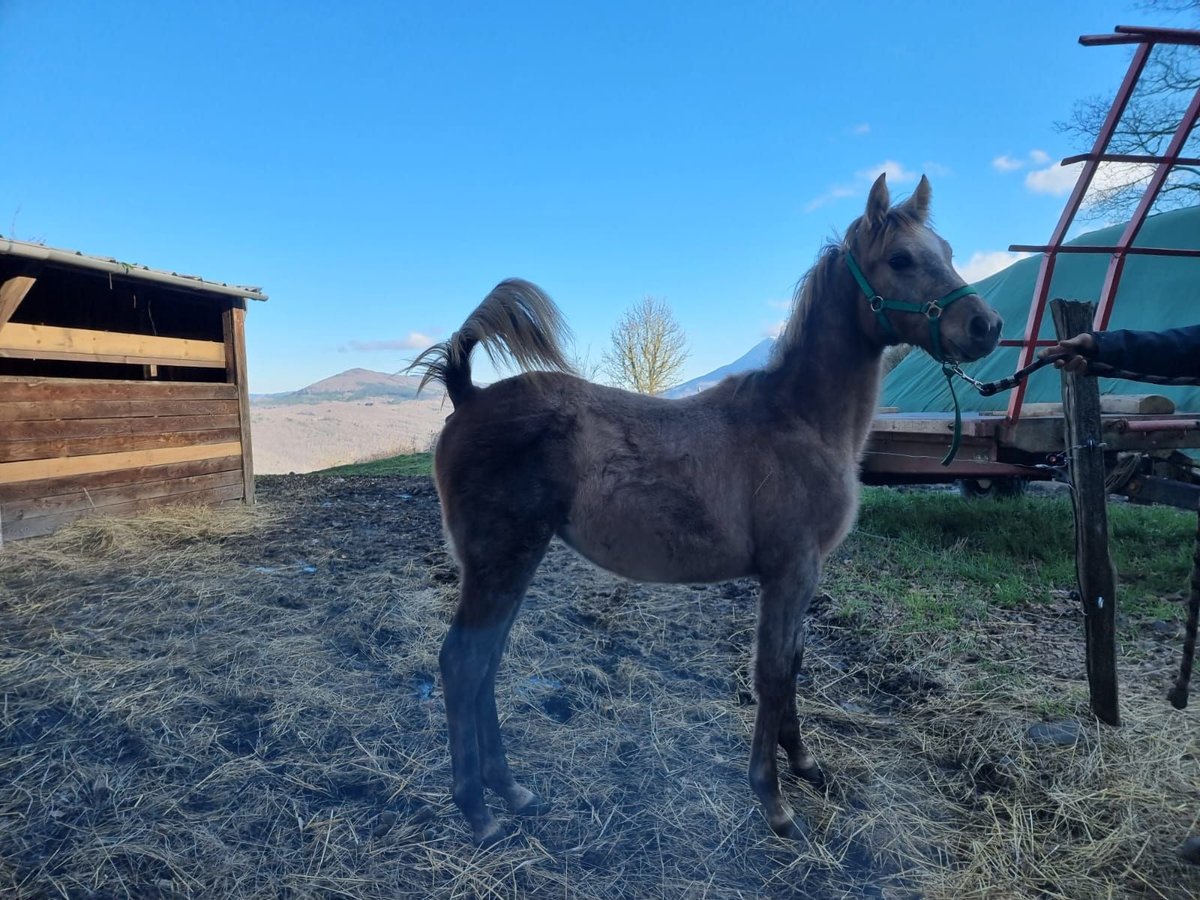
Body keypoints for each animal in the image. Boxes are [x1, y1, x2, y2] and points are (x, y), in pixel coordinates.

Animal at [410, 174, 1003, 844]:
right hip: (500, 561)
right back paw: (478, 811)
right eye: (901, 259)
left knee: (485, 664)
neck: (799, 419)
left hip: (512, 562)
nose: (986, 325)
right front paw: (772, 798)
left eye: (947, 250)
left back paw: (511, 791)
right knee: (462, 663)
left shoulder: (806, 574)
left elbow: (794, 663)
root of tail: (468, 394)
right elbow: (771, 672)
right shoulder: (789, 571)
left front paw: (804, 762)